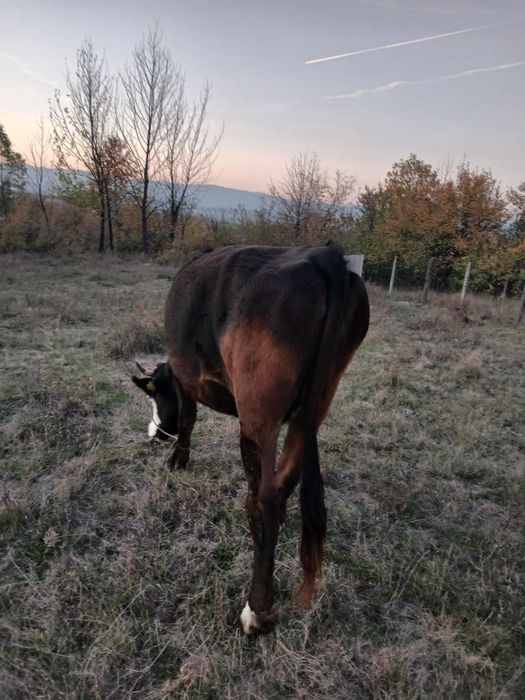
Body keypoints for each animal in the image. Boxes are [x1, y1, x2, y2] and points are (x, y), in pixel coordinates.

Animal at [132, 242, 369, 634]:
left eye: (155, 396)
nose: (155, 436)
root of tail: (322, 255)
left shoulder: (184, 379)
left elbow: (188, 418)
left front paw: (178, 459)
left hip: (258, 415)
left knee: (264, 500)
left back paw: (257, 610)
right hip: (313, 407)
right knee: (284, 482)